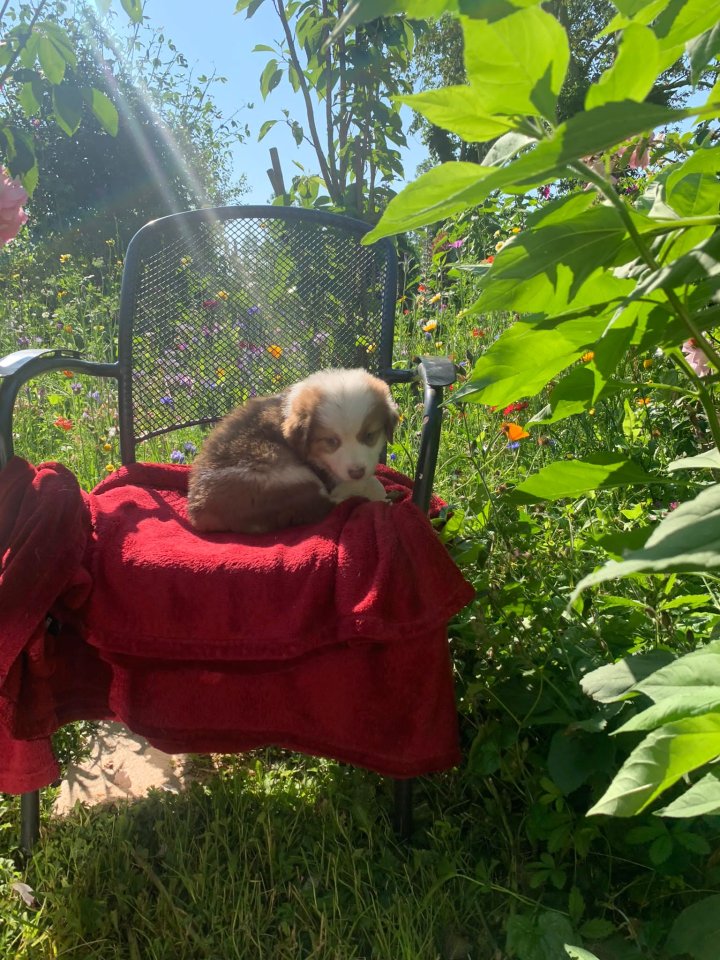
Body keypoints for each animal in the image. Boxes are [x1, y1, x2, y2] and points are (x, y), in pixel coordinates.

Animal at [187, 368, 399, 534]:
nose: (357, 472)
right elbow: (367, 483)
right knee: (323, 503)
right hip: (284, 471)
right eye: (331, 441)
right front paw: (375, 491)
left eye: (369, 435)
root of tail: (199, 511)